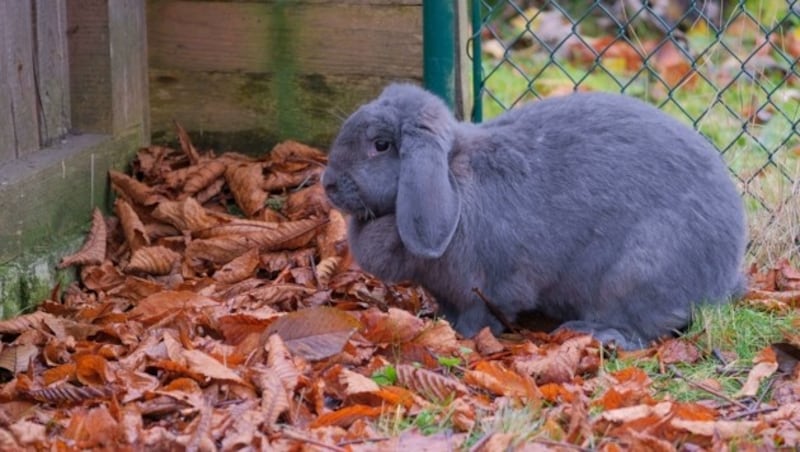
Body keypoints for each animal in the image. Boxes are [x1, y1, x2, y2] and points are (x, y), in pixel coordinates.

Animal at [322, 83, 748, 348]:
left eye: (381, 145)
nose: (328, 184)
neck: (453, 180)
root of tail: (722, 272)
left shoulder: (492, 286)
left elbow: (482, 315)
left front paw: (463, 336)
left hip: (635, 276)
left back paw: (597, 333)